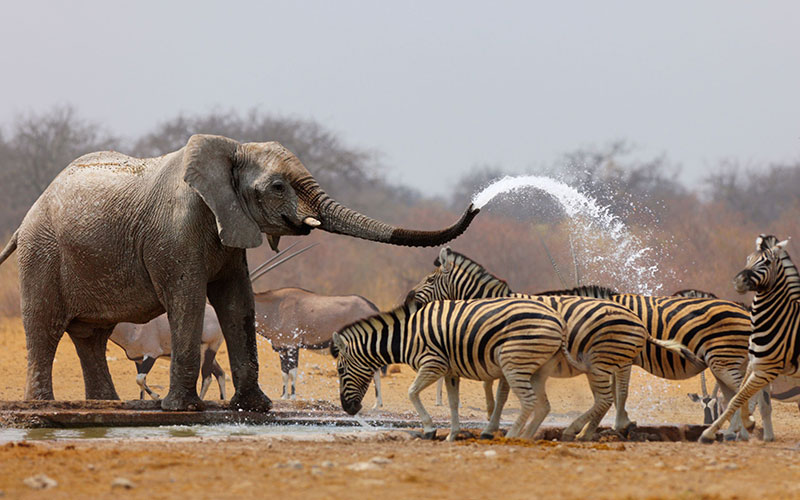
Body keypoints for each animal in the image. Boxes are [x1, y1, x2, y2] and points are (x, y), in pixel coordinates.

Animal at [0, 133, 476, 410]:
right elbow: (189, 301)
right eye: (279, 186)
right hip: (42, 254)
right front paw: (182, 410)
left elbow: (237, 303)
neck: (229, 149)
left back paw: (105, 405)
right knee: (45, 325)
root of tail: (27, 217)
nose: (475, 204)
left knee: (91, 337)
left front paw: (255, 408)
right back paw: (42, 409)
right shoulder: (175, 232)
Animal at [328, 296, 564, 442]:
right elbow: (452, 403)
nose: (349, 409)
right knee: (541, 405)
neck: (406, 337)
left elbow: (412, 393)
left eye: (340, 371)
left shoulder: (434, 364)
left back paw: (512, 436)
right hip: (534, 368)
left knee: (529, 401)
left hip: (514, 362)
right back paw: (524, 436)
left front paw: (430, 430)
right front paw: (452, 435)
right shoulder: (451, 371)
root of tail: (558, 319)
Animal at [410, 248, 772, 440]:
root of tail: (742, 310)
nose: (409, 299)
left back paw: (741, 429)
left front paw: (491, 428)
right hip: (728, 361)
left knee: (742, 392)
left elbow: (500, 393)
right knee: (745, 393)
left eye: (429, 280)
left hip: (723, 359)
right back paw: (742, 431)